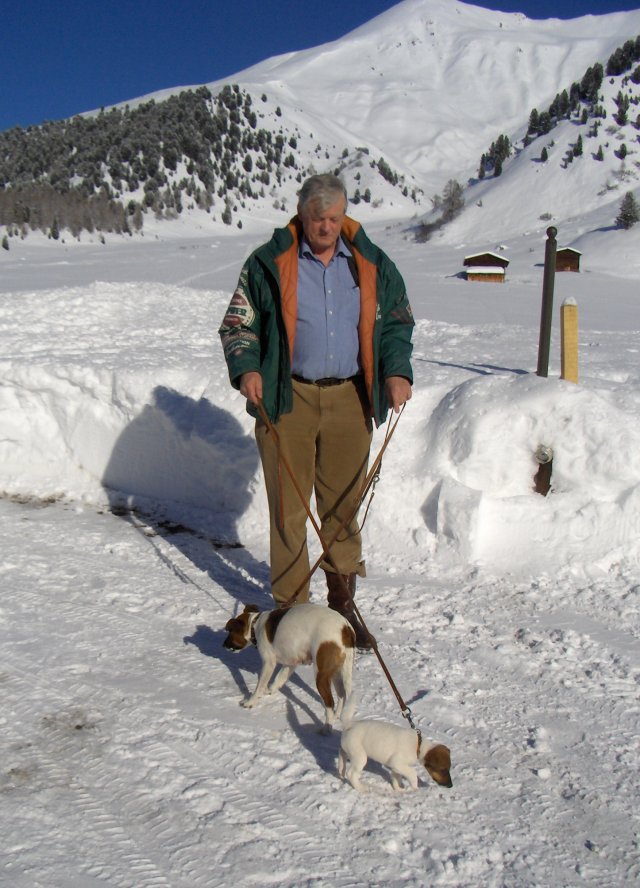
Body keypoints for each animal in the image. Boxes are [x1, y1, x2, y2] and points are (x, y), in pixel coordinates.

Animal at [224, 604, 356, 736]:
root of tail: (345, 627)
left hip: (321, 676)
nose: (223, 645)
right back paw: (336, 716)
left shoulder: (269, 663)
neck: (255, 625)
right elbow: (278, 680)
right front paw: (269, 691)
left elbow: (260, 686)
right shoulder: (290, 663)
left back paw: (326, 728)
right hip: (338, 672)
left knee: (330, 703)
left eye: (230, 632)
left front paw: (250, 702)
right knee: (342, 695)